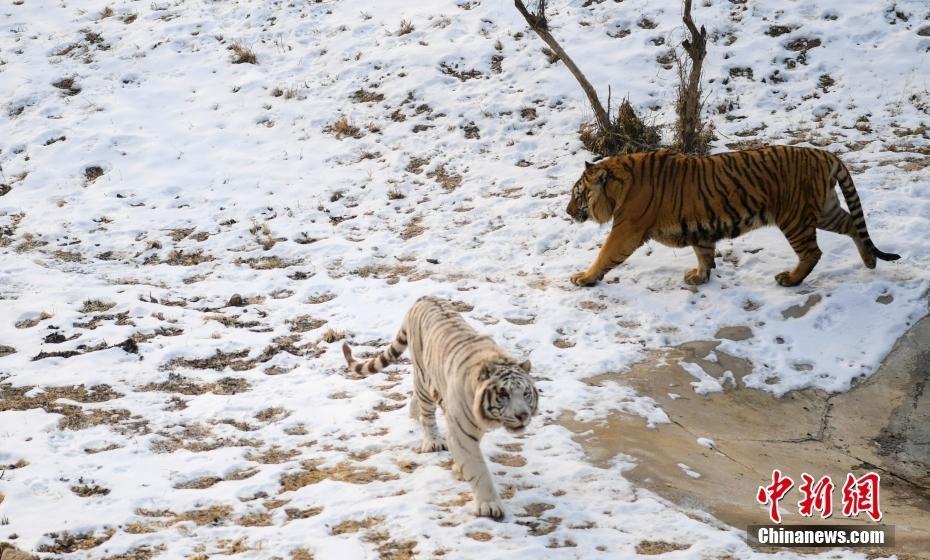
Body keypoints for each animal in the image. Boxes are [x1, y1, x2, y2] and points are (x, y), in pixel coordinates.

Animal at [340, 296, 536, 520]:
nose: (522, 415)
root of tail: (425, 298)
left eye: (525, 393)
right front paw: (489, 505)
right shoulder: (461, 433)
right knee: (427, 414)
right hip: (423, 376)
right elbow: (478, 469)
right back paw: (432, 441)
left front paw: (459, 468)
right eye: (503, 394)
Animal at [564, 144, 900, 286]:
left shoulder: (627, 229)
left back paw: (790, 279)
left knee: (813, 252)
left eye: (577, 194)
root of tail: (824, 154)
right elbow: (703, 253)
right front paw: (699, 276)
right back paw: (869, 261)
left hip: (795, 218)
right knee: (852, 224)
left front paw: (585, 277)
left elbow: (605, 254)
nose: (566, 212)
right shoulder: (698, 226)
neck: (620, 185)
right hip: (823, 210)